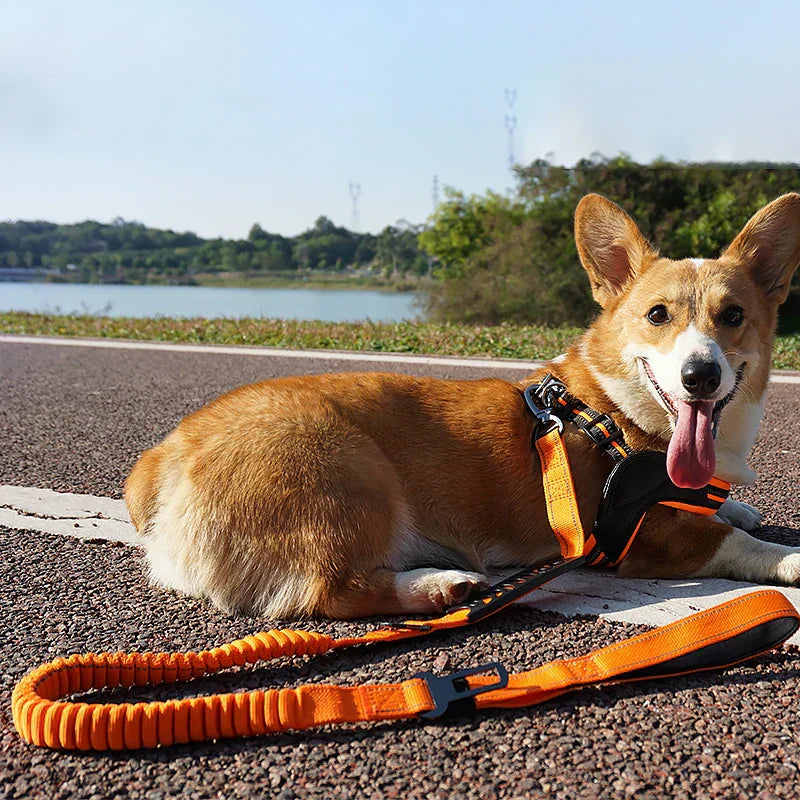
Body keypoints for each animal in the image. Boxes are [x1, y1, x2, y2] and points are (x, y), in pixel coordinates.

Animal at [123, 192, 800, 620]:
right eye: (658, 315)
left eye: (733, 316)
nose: (700, 375)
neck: (619, 409)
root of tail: (165, 455)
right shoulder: (648, 537)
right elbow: (739, 543)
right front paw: (788, 556)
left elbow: (729, 513)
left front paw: (739, 504)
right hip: (349, 472)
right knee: (331, 591)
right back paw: (439, 587)